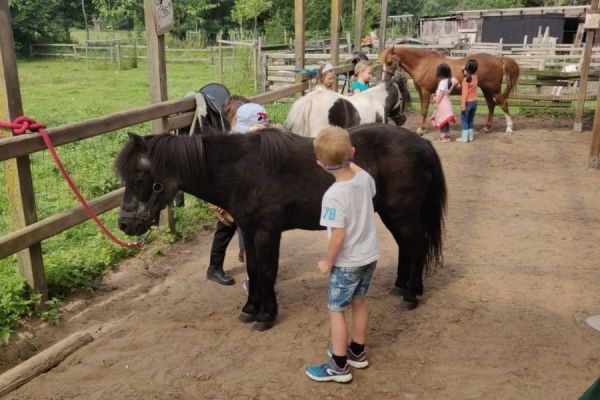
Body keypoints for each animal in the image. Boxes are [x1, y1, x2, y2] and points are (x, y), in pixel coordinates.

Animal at [117, 125, 446, 332]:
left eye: (139, 175)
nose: (125, 224)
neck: (240, 170)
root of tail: (423, 144)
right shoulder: (249, 231)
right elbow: (252, 271)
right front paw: (250, 309)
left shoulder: (267, 232)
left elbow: (266, 272)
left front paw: (266, 315)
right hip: (392, 214)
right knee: (407, 247)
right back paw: (402, 286)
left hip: (402, 213)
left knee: (416, 245)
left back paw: (411, 296)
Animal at [382, 46, 516, 134]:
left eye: (389, 62)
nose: (384, 78)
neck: (422, 63)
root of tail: (498, 59)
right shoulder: (421, 92)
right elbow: (423, 110)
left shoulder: (425, 92)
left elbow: (424, 111)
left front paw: (421, 129)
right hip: (486, 89)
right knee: (491, 105)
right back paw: (487, 127)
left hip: (494, 90)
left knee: (503, 103)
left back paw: (509, 128)